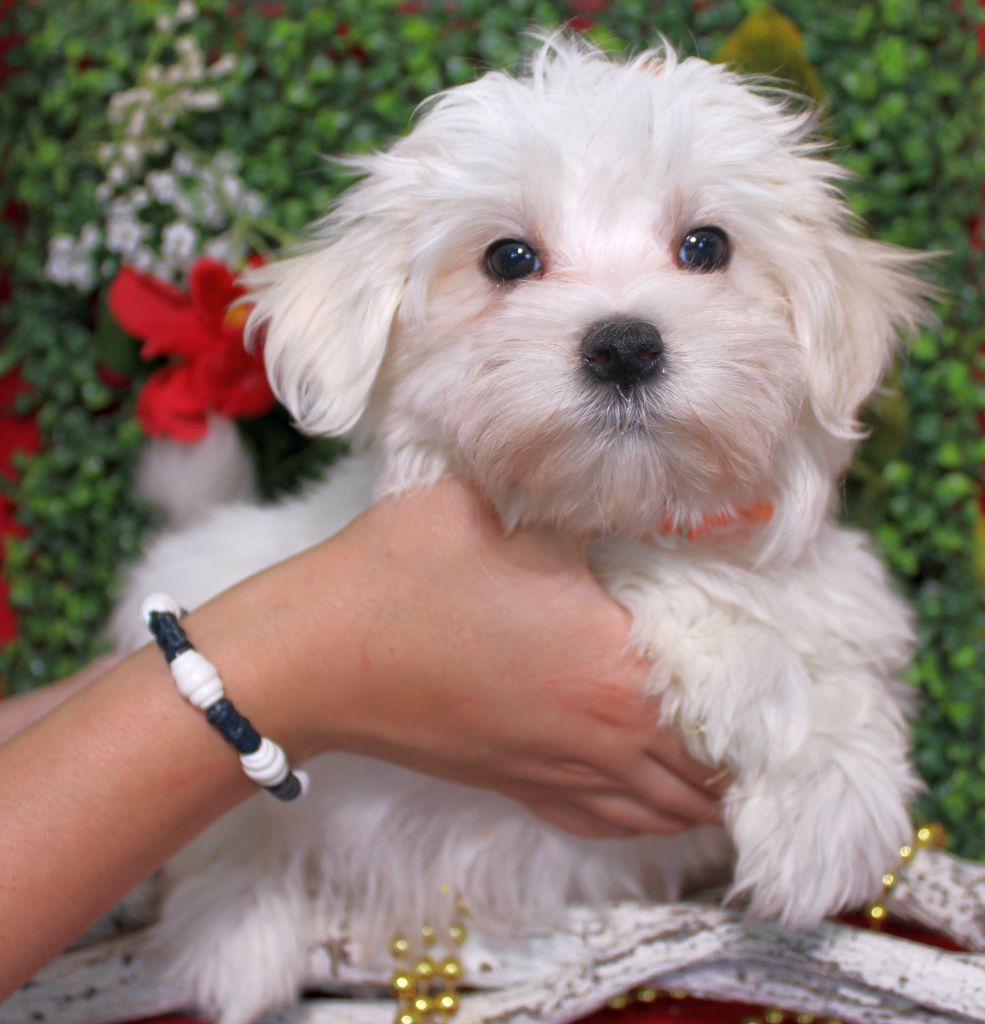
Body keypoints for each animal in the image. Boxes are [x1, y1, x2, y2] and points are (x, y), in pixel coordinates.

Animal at [113, 34, 929, 1024]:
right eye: (508, 258)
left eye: (706, 246)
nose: (624, 345)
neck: (614, 502)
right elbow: (698, 590)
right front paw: (822, 800)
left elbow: (832, 625)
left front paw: (833, 791)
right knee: (223, 841)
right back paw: (240, 931)